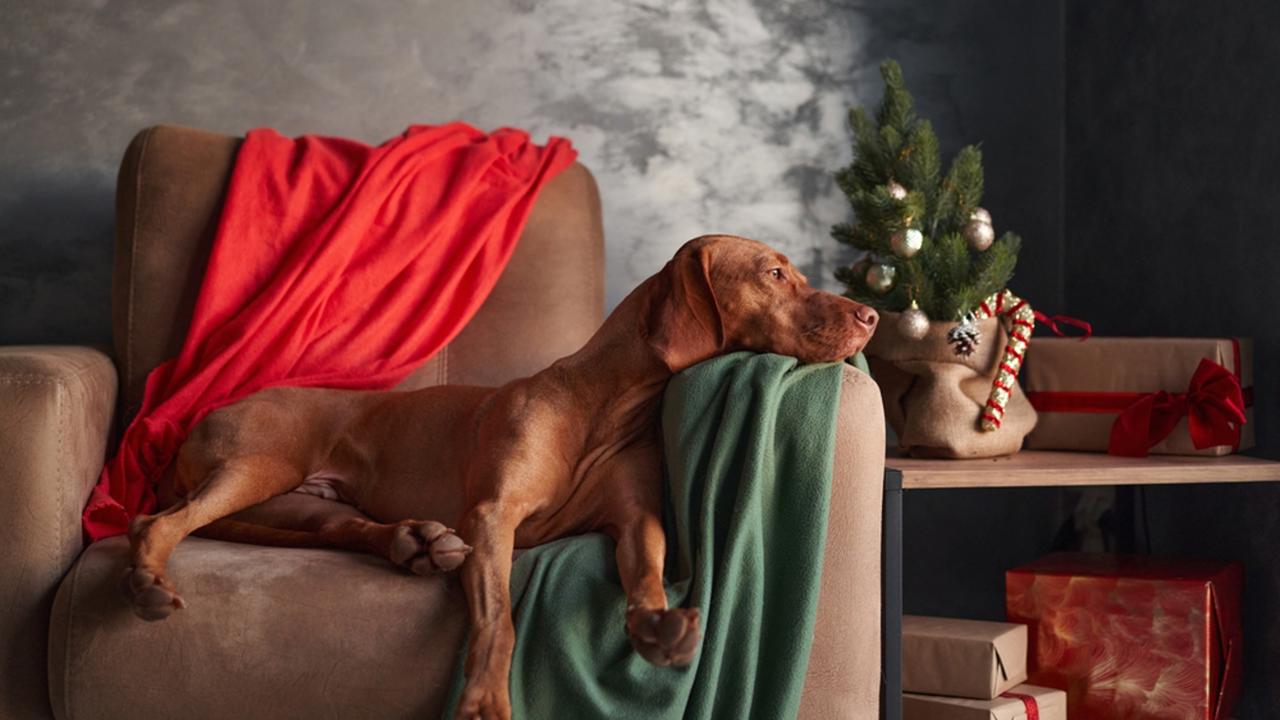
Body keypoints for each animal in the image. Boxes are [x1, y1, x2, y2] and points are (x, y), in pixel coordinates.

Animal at [122, 233, 880, 712]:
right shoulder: (493, 517)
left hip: (302, 506)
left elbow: (646, 569)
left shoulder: (635, 517)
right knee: (157, 521)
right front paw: (486, 700)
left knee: (344, 528)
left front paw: (658, 625)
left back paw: (417, 543)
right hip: (256, 466)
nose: (873, 313)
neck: (603, 404)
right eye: (774, 274)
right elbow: (502, 623)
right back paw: (147, 582)